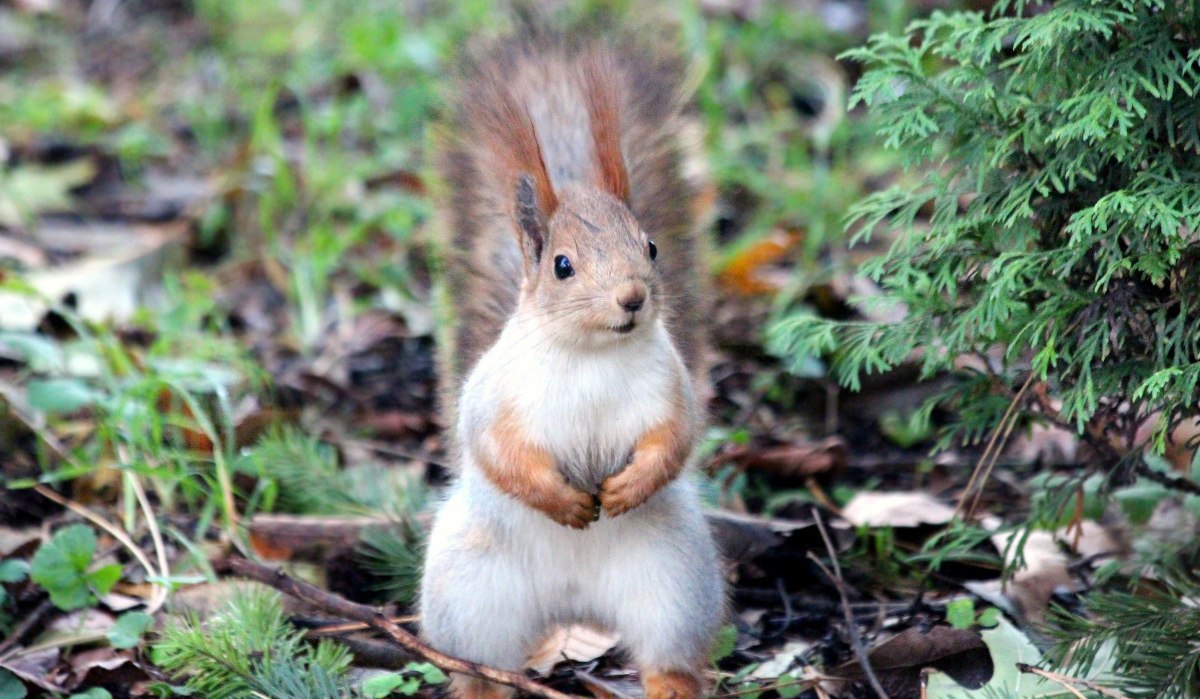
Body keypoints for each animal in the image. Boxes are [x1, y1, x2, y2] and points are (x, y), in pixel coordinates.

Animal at [420, 30, 724, 699]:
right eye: (562, 265)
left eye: (651, 247)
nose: (632, 298)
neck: (592, 355)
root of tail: (573, 607)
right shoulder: (496, 398)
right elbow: (498, 451)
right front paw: (562, 503)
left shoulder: (671, 390)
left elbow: (674, 440)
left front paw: (628, 486)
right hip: (469, 592)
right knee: (477, 668)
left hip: (673, 584)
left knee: (668, 657)